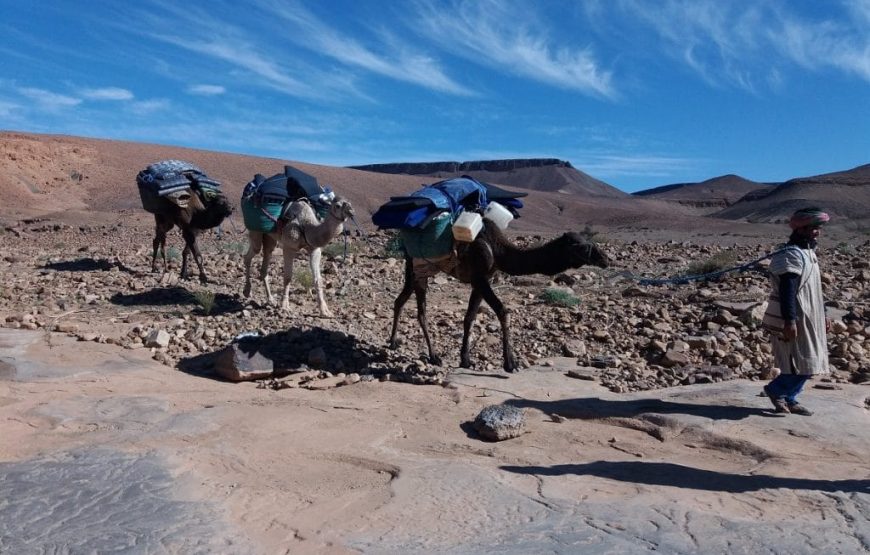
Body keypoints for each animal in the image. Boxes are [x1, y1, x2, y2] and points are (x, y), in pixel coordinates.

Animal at [392, 224, 608, 376]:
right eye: (582, 247)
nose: (605, 259)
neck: (499, 251)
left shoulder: (481, 279)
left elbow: (469, 317)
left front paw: (466, 360)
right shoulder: (479, 276)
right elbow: (503, 311)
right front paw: (510, 364)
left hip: (415, 270)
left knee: (400, 300)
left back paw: (392, 342)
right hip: (418, 268)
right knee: (421, 311)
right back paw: (434, 356)